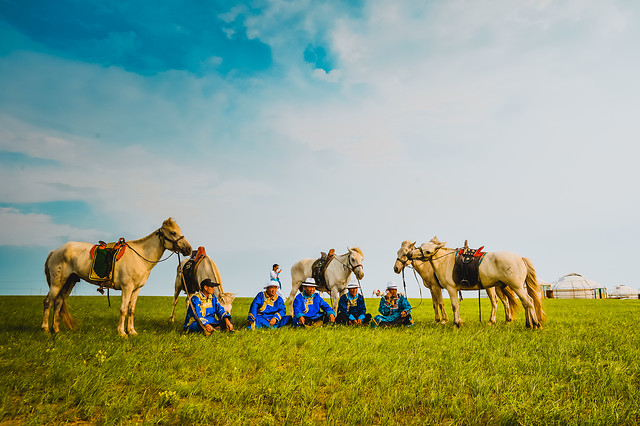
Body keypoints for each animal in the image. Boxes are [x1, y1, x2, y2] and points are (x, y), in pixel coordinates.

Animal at [42, 218, 192, 336]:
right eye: (173, 232)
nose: (189, 249)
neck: (140, 257)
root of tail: (55, 251)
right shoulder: (127, 288)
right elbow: (123, 309)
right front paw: (122, 332)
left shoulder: (136, 289)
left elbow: (131, 310)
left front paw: (131, 331)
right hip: (57, 283)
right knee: (48, 302)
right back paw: (46, 329)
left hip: (69, 282)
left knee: (58, 302)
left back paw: (56, 329)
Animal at [407, 237, 545, 328]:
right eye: (420, 245)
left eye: (427, 251)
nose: (409, 254)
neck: (445, 261)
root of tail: (520, 258)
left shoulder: (451, 289)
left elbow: (454, 306)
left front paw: (456, 323)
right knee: (525, 303)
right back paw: (528, 324)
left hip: (517, 287)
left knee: (529, 301)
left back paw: (536, 324)